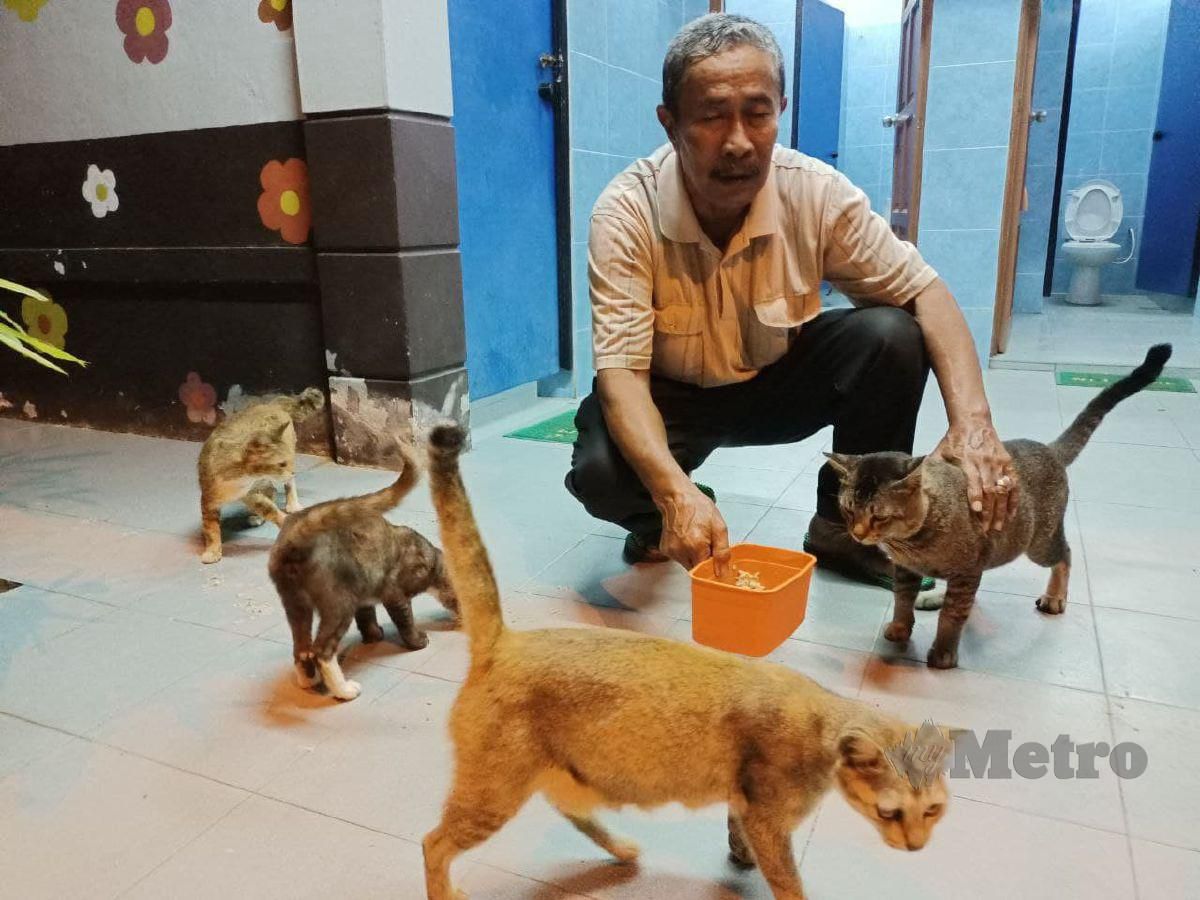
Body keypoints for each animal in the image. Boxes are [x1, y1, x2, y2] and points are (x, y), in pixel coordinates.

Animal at [268, 448, 458, 700]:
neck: (430, 558)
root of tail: (294, 539)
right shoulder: (394, 593)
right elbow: (405, 620)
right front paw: (417, 641)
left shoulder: (364, 592)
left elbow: (367, 616)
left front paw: (374, 635)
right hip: (338, 604)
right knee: (321, 651)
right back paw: (345, 690)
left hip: (296, 604)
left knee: (301, 648)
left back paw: (308, 681)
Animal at [825, 345, 1171, 672]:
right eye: (848, 510)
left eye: (879, 516)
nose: (857, 534)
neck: (913, 543)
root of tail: (1049, 450)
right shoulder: (909, 570)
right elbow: (902, 600)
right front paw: (900, 628)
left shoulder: (965, 570)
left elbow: (952, 616)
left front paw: (944, 653)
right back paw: (934, 596)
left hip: (1039, 545)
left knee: (1065, 555)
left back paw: (1055, 597)